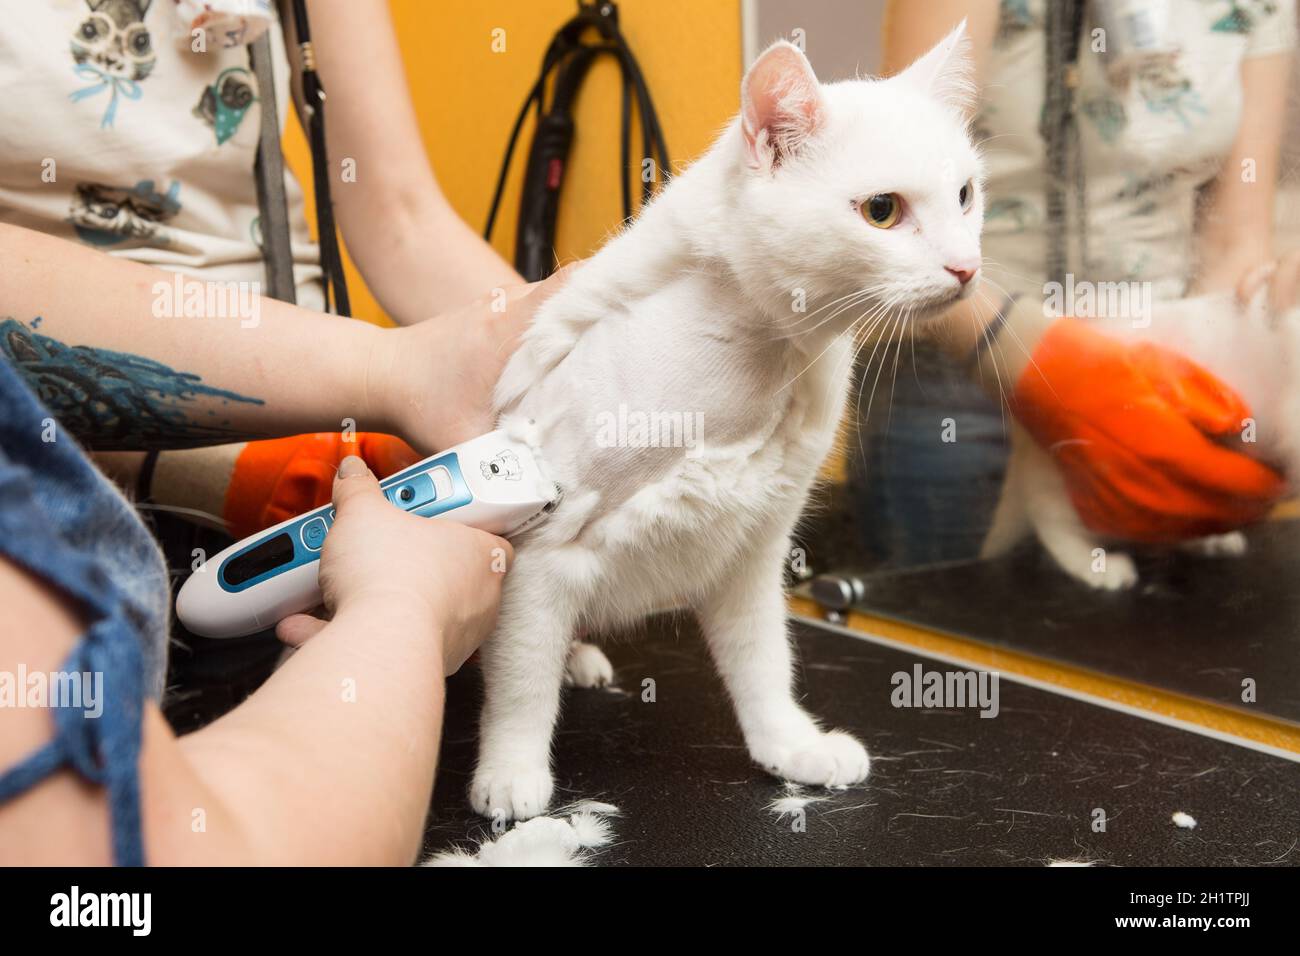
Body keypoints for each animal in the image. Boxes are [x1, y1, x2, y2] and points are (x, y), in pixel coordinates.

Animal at [475, 26, 982, 816]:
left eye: (965, 195)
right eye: (882, 210)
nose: (967, 267)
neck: (759, 366)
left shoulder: (751, 553)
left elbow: (764, 664)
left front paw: (791, 747)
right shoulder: (538, 551)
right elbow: (520, 679)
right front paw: (509, 773)